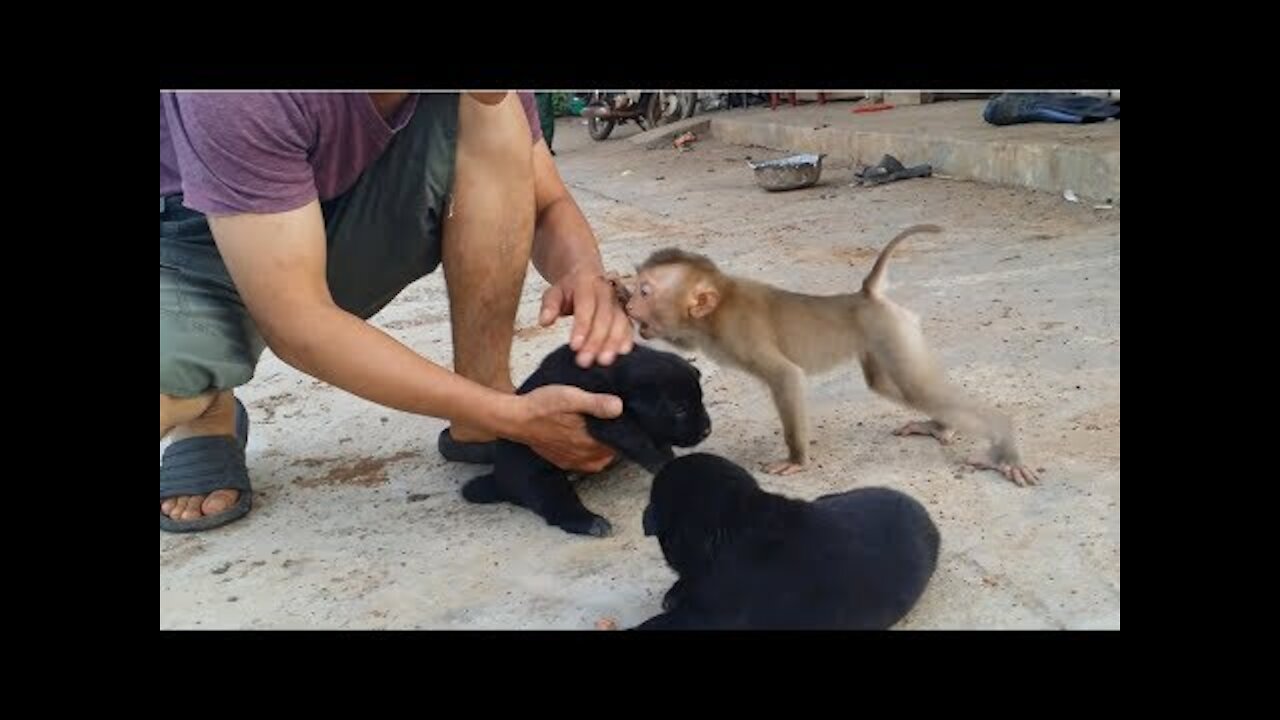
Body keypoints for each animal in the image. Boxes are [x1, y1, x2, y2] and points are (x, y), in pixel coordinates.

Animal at [460, 343, 711, 538]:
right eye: (679, 409)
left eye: (700, 399)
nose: (707, 430)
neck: (614, 374)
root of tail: (499, 480)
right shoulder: (602, 411)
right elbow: (633, 436)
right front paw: (661, 462)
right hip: (540, 479)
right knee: (557, 506)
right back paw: (591, 522)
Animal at [614, 222, 1044, 481]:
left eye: (647, 291)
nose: (631, 303)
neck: (717, 310)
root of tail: (866, 296)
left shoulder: (741, 332)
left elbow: (786, 377)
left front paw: (796, 459)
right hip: (886, 335)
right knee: (896, 387)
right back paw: (940, 426)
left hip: (888, 331)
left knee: (916, 389)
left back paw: (1004, 449)